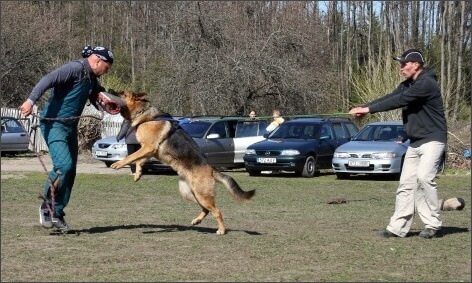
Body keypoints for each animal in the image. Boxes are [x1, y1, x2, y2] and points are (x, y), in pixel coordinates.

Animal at [109, 90, 256, 235]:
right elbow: (139, 160)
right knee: (207, 209)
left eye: (122, 93)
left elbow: (131, 157)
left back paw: (221, 230)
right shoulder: (150, 151)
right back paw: (197, 220)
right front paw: (138, 174)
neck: (144, 114)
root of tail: (211, 170)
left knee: (217, 211)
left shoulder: (149, 147)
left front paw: (118, 164)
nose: (109, 90)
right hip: (190, 193)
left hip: (202, 195)